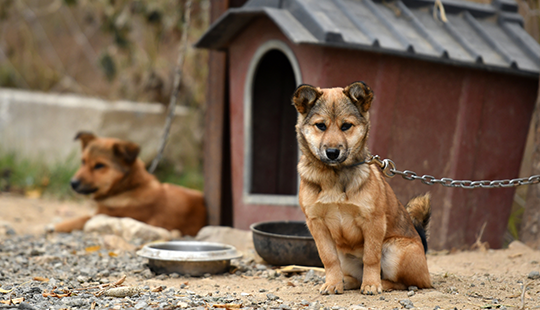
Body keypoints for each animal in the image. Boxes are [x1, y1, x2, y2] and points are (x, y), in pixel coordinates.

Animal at [54, 132, 207, 236]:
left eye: (99, 166)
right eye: (83, 161)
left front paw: (57, 226)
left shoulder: (106, 215)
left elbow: (82, 219)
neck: (128, 187)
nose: (72, 183)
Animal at [292, 81, 430, 294]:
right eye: (321, 126)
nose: (332, 152)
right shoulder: (316, 223)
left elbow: (371, 258)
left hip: (394, 249)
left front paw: (372, 284)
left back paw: (381, 283)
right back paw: (345, 281)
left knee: (406, 283)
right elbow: (328, 259)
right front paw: (332, 284)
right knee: (352, 274)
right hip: (345, 255)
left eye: (346, 126)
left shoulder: (373, 221)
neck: (335, 175)